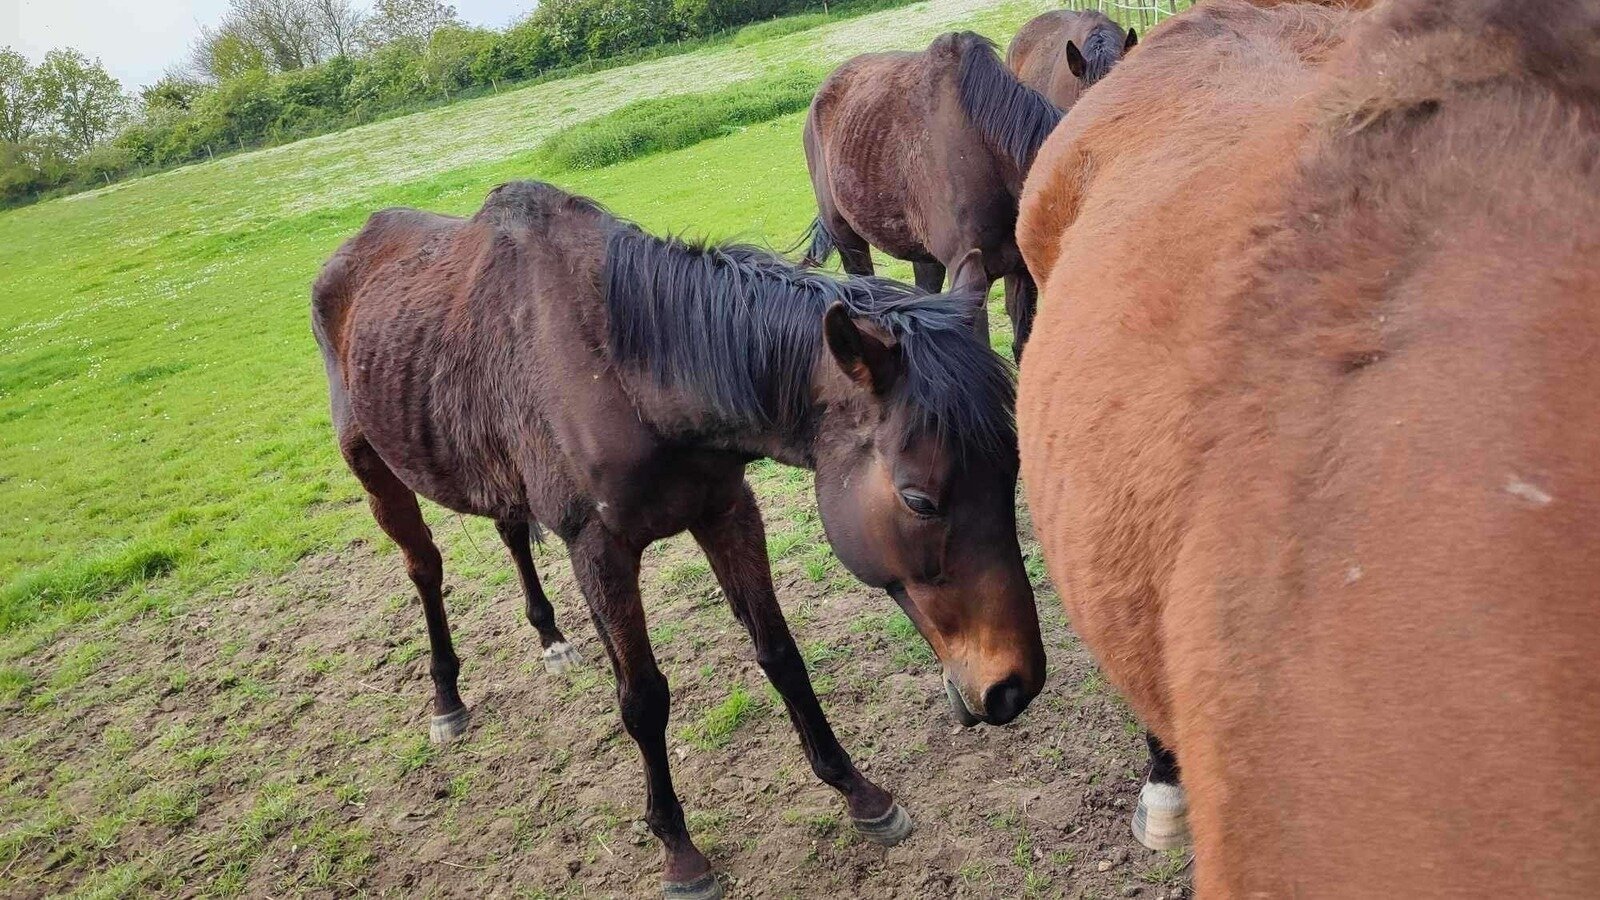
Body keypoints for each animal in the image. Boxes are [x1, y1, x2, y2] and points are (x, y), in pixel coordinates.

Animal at [312, 180, 1046, 899]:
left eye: (1014, 467)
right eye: (919, 499)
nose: (1014, 686)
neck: (623, 373)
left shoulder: (726, 511)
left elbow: (781, 654)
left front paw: (859, 793)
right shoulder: (599, 550)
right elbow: (642, 700)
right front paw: (679, 852)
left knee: (511, 531)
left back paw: (550, 637)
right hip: (374, 469)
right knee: (425, 569)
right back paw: (447, 698)